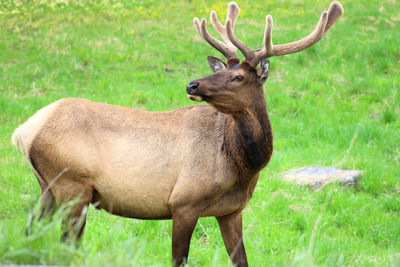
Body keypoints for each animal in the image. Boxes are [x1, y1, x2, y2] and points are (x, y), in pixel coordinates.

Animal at [12, 1, 344, 266]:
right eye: (221, 70)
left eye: (237, 76)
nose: (192, 84)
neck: (241, 165)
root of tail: (23, 131)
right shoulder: (183, 202)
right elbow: (179, 259)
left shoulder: (231, 210)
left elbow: (241, 260)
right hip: (73, 185)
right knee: (65, 243)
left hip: (48, 187)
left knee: (29, 234)